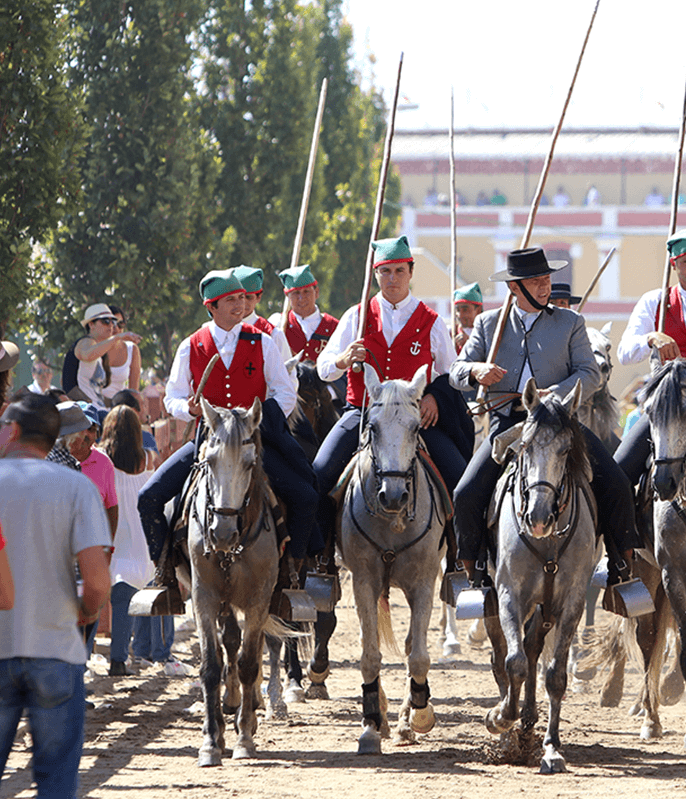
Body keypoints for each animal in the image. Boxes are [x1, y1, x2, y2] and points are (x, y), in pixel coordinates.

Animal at [486, 382, 600, 776]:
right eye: (526, 446)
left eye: (566, 450)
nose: (538, 517)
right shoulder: (508, 596)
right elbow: (514, 662)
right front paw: (500, 717)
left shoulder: (571, 603)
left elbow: (554, 675)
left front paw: (551, 748)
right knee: (505, 656)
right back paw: (511, 724)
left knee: (533, 646)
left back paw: (529, 720)